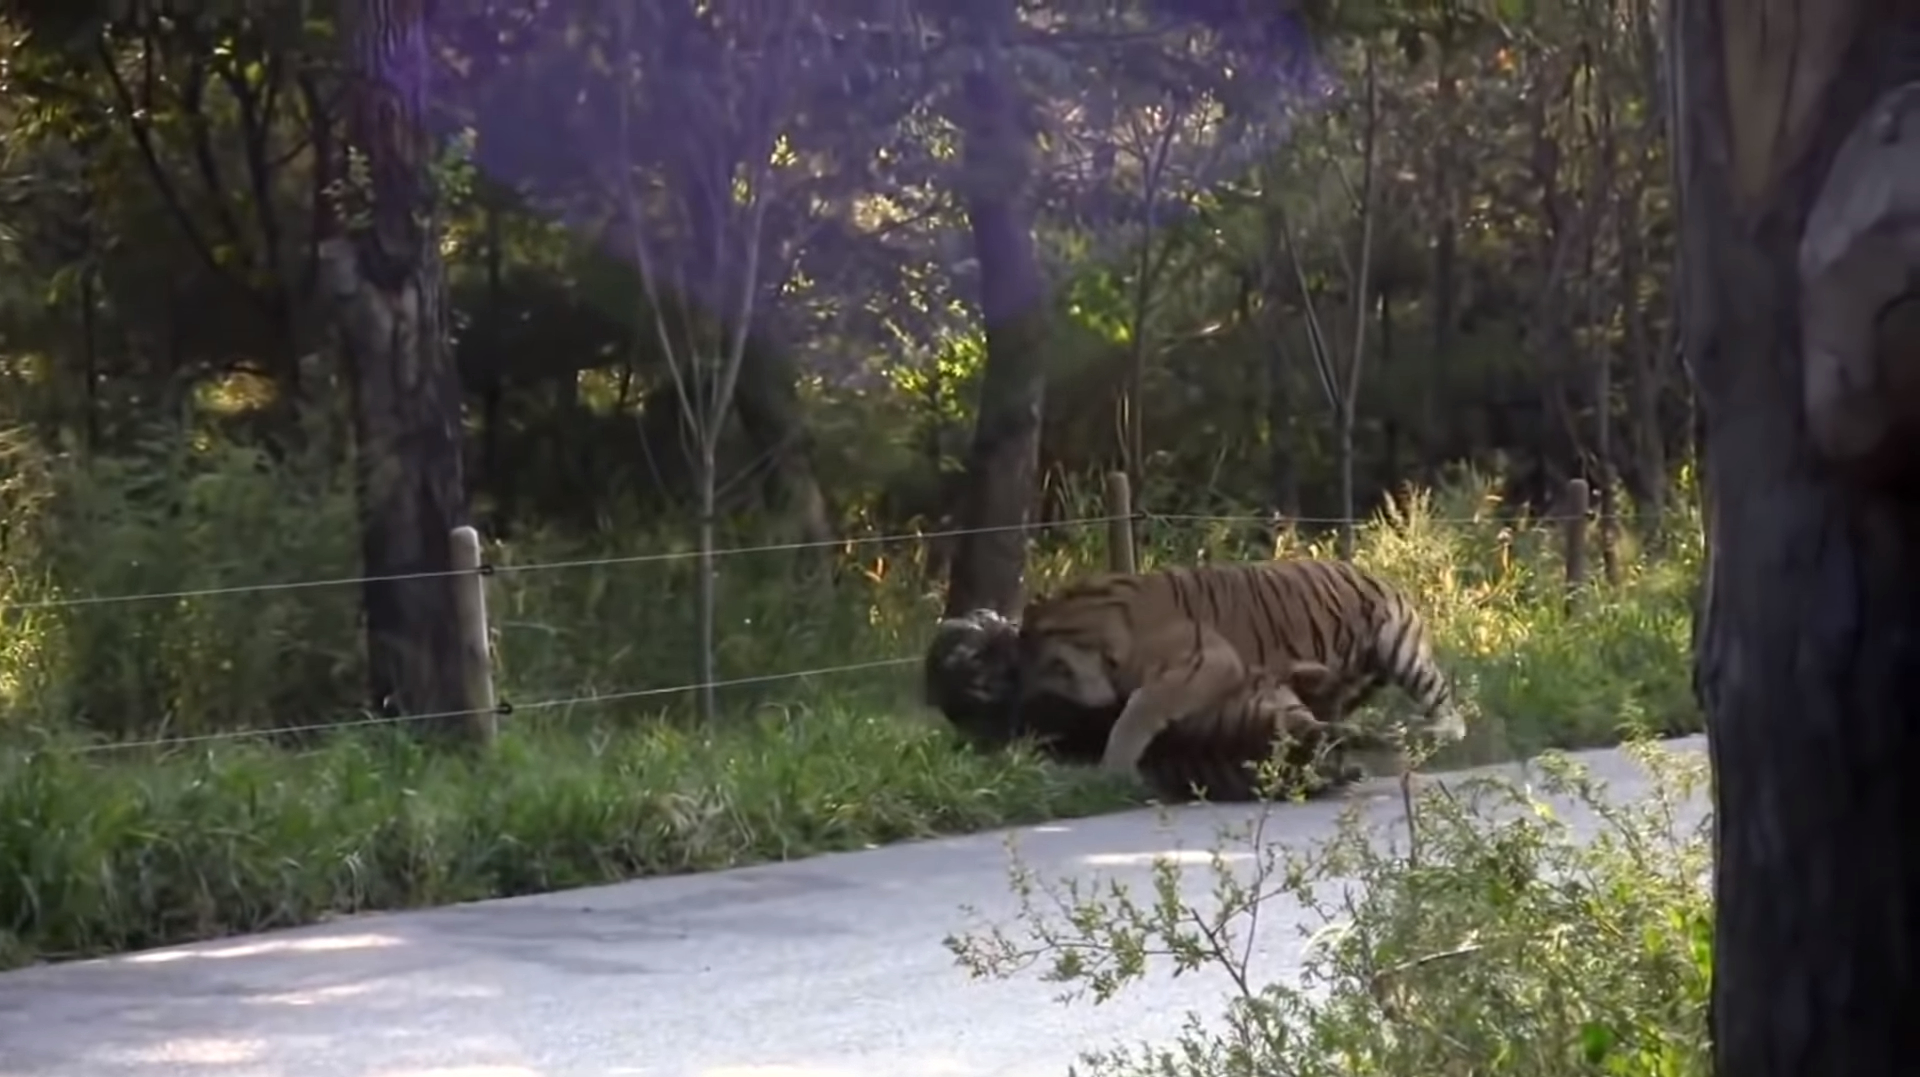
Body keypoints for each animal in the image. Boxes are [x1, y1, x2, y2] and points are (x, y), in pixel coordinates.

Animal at [1010, 557, 1467, 778]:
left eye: (1050, 667)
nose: (1023, 699)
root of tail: (1374, 574)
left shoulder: (1209, 661)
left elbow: (1141, 707)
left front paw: (1113, 766)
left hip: (1401, 650)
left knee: (1452, 714)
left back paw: (1427, 730)